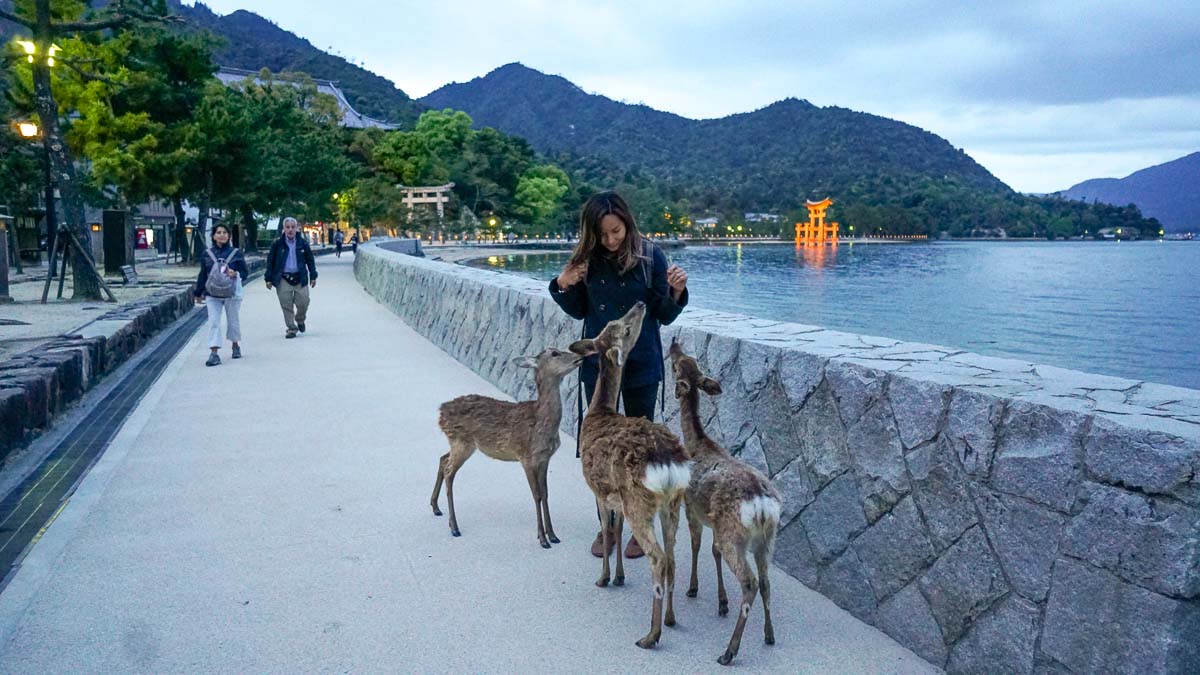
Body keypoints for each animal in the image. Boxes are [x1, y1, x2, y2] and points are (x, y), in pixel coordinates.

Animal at [429, 345, 583, 547]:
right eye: (555, 353)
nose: (580, 357)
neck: (543, 424)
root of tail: (440, 412)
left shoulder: (544, 458)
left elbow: (546, 494)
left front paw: (553, 535)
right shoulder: (526, 456)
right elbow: (536, 495)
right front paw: (542, 539)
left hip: (459, 443)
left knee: (442, 459)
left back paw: (436, 508)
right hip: (462, 441)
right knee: (449, 472)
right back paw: (454, 527)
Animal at [571, 302, 696, 648]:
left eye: (624, 329)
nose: (640, 304)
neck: (598, 411)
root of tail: (668, 462)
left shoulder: (598, 490)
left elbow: (608, 529)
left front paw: (603, 578)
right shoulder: (617, 498)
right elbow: (616, 528)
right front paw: (619, 576)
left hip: (640, 501)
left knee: (658, 557)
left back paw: (650, 635)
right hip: (671, 504)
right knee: (672, 555)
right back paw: (671, 618)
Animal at [672, 336, 782, 662]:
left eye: (676, 365)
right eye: (689, 359)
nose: (673, 343)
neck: (697, 444)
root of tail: (762, 506)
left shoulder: (691, 507)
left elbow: (697, 546)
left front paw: (693, 589)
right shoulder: (713, 520)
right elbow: (713, 551)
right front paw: (721, 603)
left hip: (735, 533)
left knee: (750, 582)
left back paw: (729, 651)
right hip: (766, 540)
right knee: (766, 581)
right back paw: (769, 634)